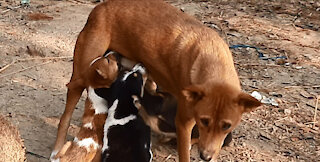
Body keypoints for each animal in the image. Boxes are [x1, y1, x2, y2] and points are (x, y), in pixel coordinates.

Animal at [53, 0, 262, 161]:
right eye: (203, 121)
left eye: (227, 125)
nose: (205, 157)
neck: (211, 59)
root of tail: (101, 6)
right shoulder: (184, 122)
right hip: (81, 76)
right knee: (65, 118)